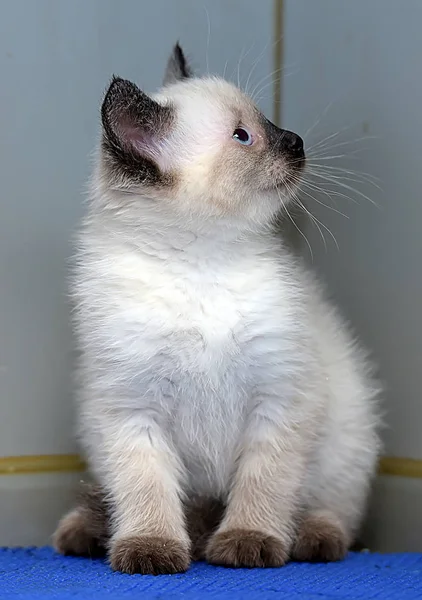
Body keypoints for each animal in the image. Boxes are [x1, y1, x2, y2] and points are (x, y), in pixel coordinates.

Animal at [52, 44, 380, 576]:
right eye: (243, 135)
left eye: (266, 121)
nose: (296, 140)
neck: (202, 263)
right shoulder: (133, 411)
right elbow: (145, 489)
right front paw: (150, 549)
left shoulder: (279, 399)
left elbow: (264, 484)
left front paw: (248, 541)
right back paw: (87, 532)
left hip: (348, 442)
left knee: (334, 512)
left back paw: (312, 539)